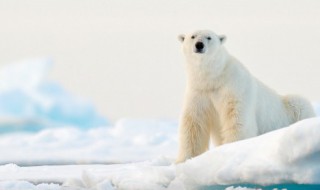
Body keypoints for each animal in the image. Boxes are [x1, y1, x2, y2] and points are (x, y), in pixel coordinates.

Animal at [176, 29, 316, 163]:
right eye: (193, 36)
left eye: (209, 37)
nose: (199, 45)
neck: (214, 77)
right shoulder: (199, 92)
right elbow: (194, 123)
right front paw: (183, 160)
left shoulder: (235, 86)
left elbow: (237, 118)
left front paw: (232, 148)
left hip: (291, 108)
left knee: (299, 103)